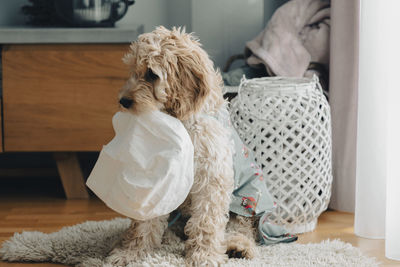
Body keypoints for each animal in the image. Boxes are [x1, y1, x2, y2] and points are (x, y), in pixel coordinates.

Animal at [106, 26, 258, 266]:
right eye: (133, 69)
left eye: (152, 74)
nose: (123, 101)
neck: (181, 123)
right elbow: (144, 222)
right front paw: (132, 252)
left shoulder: (212, 179)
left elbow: (207, 221)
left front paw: (204, 256)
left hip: (245, 201)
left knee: (242, 227)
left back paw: (238, 247)